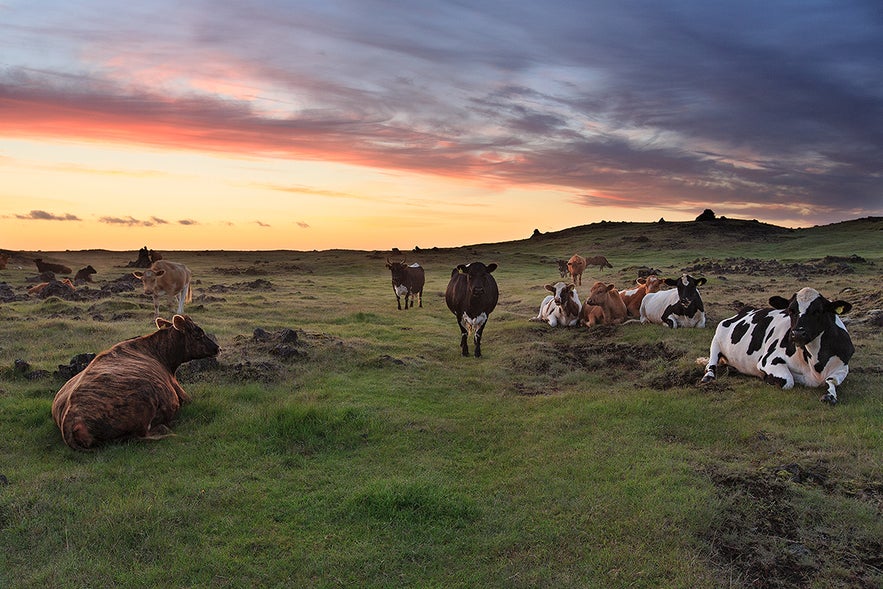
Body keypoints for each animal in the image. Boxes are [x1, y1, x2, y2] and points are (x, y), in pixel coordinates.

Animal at [52, 314, 221, 448]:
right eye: (198, 333)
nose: (218, 348)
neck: (159, 353)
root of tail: (70, 420)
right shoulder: (179, 391)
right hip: (145, 399)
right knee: (142, 435)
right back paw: (165, 427)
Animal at [700, 286, 852, 404]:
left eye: (818, 311)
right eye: (791, 310)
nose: (797, 334)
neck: (816, 362)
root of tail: (746, 309)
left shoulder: (843, 366)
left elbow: (832, 381)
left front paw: (830, 396)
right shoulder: (768, 360)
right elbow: (788, 381)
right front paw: (767, 378)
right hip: (716, 341)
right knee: (711, 364)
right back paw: (708, 377)